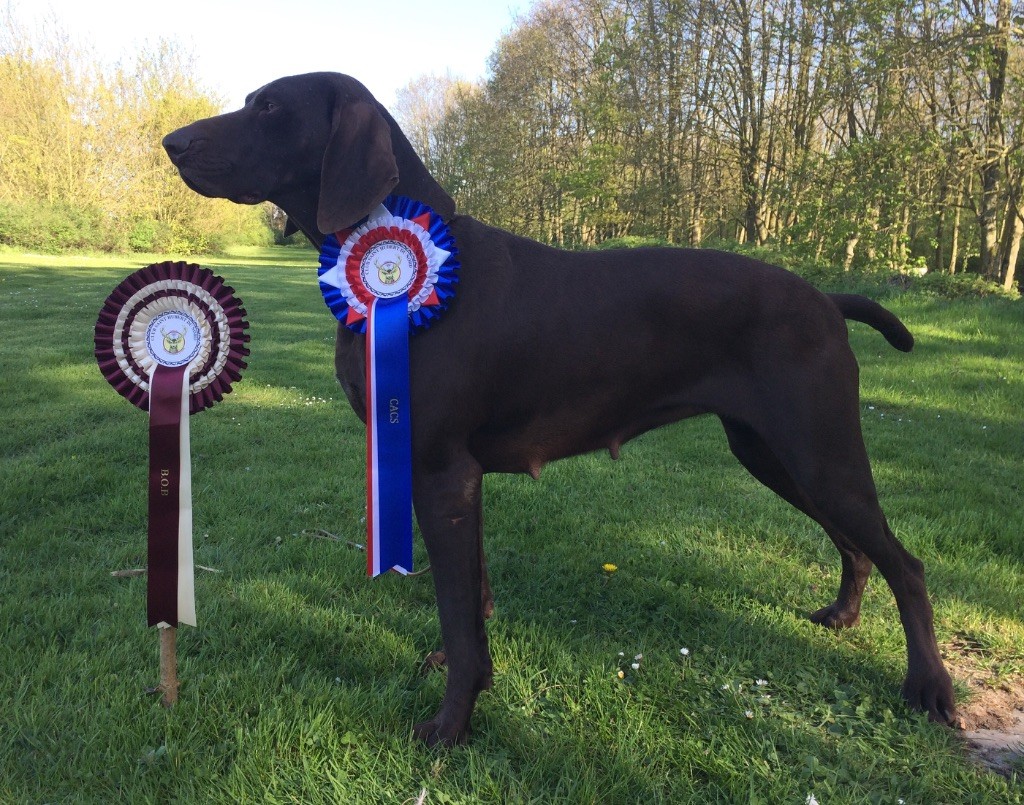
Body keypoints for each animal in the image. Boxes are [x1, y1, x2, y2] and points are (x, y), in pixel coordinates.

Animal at [163, 72, 954, 741]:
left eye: (270, 106)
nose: (174, 142)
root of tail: (826, 299)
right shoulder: (451, 477)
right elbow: (472, 597)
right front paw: (457, 675)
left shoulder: (440, 470)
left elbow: (458, 613)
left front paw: (450, 723)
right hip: (774, 451)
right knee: (856, 545)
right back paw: (844, 616)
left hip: (817, 451)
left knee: (907, 563)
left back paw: (931, 688)